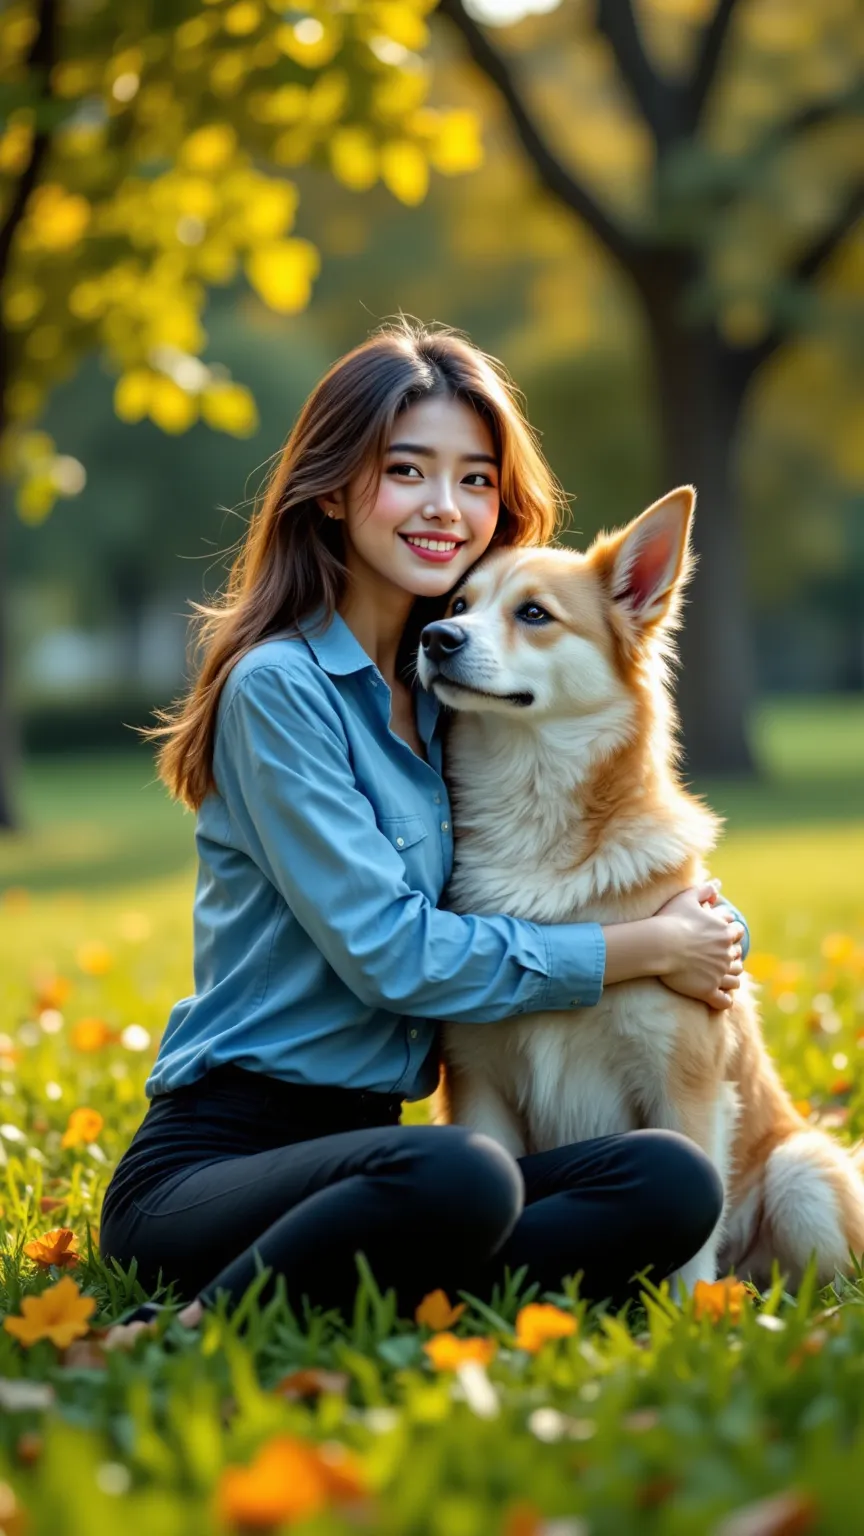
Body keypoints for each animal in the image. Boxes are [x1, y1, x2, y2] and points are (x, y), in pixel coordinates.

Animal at [415, 485, 860, 1290]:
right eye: (460, 602)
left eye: (534, 613)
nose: (436, 636)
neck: (533, 814)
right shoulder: (480, 1083)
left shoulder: (684, 1087)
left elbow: (690, 1251)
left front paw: (686, 1318)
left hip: (801, 1173)